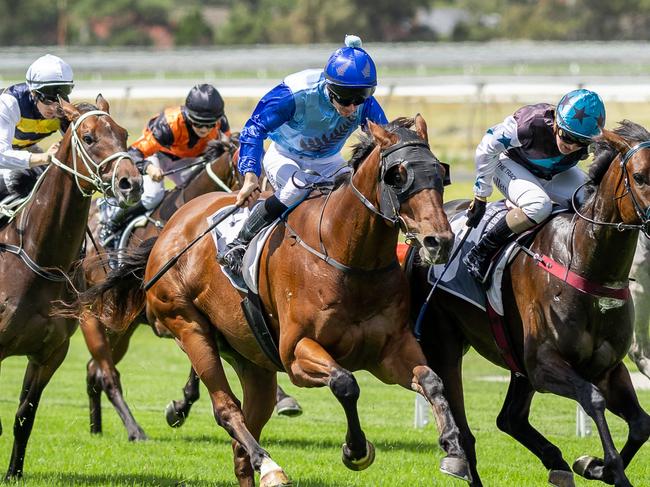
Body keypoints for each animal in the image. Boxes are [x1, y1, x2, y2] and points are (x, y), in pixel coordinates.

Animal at [0, 97, 140, 482]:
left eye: (123, 133)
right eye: (89, 138)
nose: (131, 183)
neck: (38, 259)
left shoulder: (49, 353)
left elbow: (24, 416)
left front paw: (13, 473)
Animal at [81, 116, 468, 486]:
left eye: (439, 173)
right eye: (398, 176)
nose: (439, 240)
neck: (347, 256)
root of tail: (169, 232)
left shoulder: (389, 351)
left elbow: (432, 380)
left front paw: (454, 449)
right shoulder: (296, 352)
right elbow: (345, 383)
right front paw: (355, 449)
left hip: (251, 361)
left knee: (241, 443)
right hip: (186, 326)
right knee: (225, 409)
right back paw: (268, 465)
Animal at [410, 119, 648, 487]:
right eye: (639, 176)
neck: (584, 264)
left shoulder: (608, 368)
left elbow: (641, 424)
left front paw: (594, 465)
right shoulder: (543, 365)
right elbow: (592, 399)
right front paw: (609, 468)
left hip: (513, 357)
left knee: (510, 418)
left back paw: (557, 462)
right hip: (445, 341)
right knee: (464, 427)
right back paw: (461, 462)